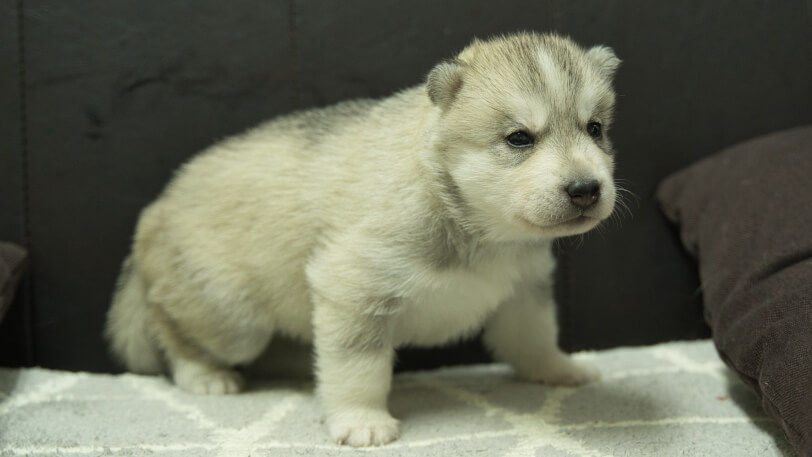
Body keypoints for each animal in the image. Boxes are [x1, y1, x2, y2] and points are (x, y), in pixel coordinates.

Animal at [106, 32, 620, 446]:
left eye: (595, 129)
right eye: (518, 139)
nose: (585, 189)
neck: (473, 224)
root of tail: (157, 207)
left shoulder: (524, 289)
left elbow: (534, 338)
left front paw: (558, 369)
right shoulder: (355, 289)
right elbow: (359, 370)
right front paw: (361, 421)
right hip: (232, 318)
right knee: (173, 327)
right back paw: (204, 374)